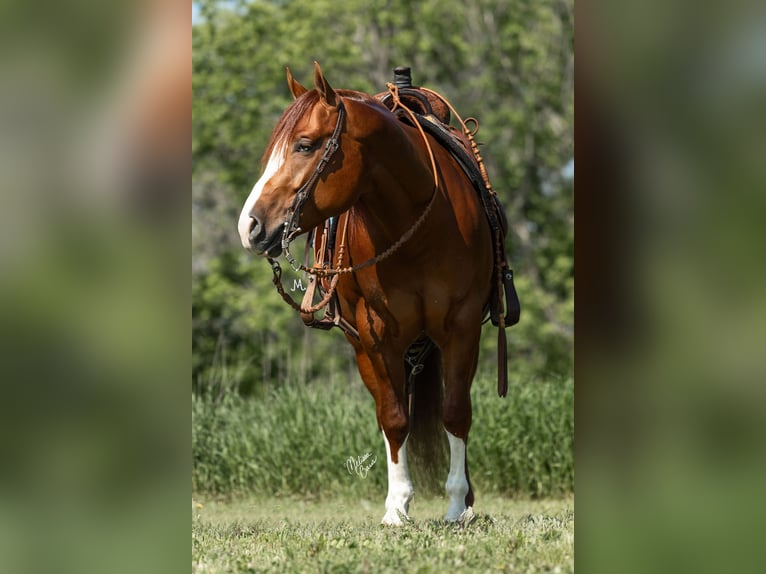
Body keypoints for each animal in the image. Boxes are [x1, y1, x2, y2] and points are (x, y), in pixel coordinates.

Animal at [240, 63, 516, 528]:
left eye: (304, 145)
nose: (250, 226)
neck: (417, 227)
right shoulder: (375, 335)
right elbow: (394, 417)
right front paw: (396, 506)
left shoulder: (461, 328)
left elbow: (456, 412)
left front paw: (457, 504)